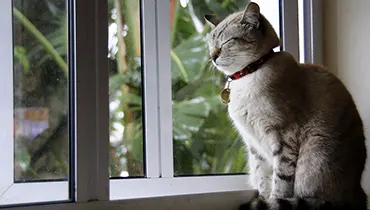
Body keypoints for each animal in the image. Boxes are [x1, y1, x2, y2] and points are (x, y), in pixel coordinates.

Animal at [205, 2, 368, 210]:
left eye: (227, 42)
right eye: (211, 44)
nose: (213, 56)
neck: (248, 75)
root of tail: (359, 194)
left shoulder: (283, 137)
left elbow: (280, 184)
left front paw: (272, 202)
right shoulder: (255, 146)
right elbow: (263, 181)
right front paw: (264, 200)